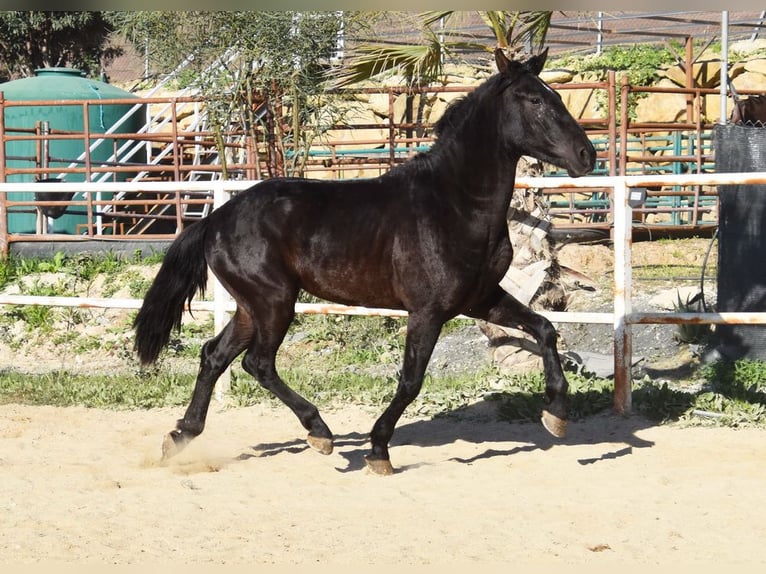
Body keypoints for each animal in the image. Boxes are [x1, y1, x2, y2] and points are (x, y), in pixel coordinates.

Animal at [135, 47, 596, 474]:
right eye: (534, 100)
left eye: (556, 95)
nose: (586, 155)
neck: (456, 204)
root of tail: (214, 219)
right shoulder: (427, 311)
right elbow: (411, 380)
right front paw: (378, 451)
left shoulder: (479, 298)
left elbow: (545, 328)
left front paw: (556, 414)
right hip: (274, 303)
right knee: (257, 363)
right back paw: (320, 433)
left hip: (253, 307)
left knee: (215, 355)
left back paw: (181, 436)